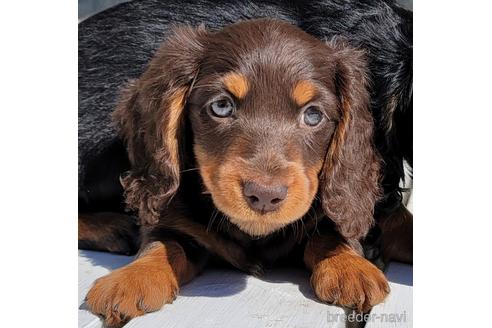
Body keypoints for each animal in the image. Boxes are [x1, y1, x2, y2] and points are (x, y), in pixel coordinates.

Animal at [82, 19, 390, 326]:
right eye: (221, 106)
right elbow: (162, 245)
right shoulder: (175, 221)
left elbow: (330, 233)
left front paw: (350, 265)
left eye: (313, 115)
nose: (265, 196)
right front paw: (133, 278)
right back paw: (112, 228)